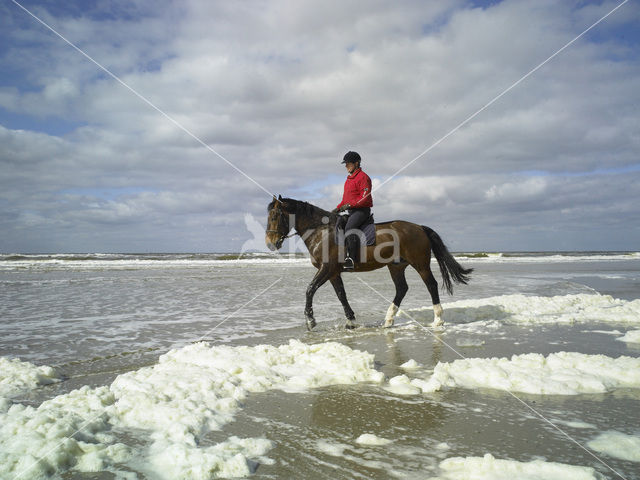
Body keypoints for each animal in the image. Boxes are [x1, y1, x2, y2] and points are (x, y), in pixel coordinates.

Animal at [264, 195, 470, 330]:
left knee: (431, 284)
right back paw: (388, 320)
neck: (320, 231)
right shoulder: (333, 273)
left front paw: (310, 321)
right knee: (402, 289)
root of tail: (419, 227)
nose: (270, 243)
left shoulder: (327, 268)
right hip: (396, 266)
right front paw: (351, 321)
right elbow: (341, 295)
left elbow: (310, 289)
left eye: (274, 216)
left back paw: (438, 319)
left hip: (420, 264)